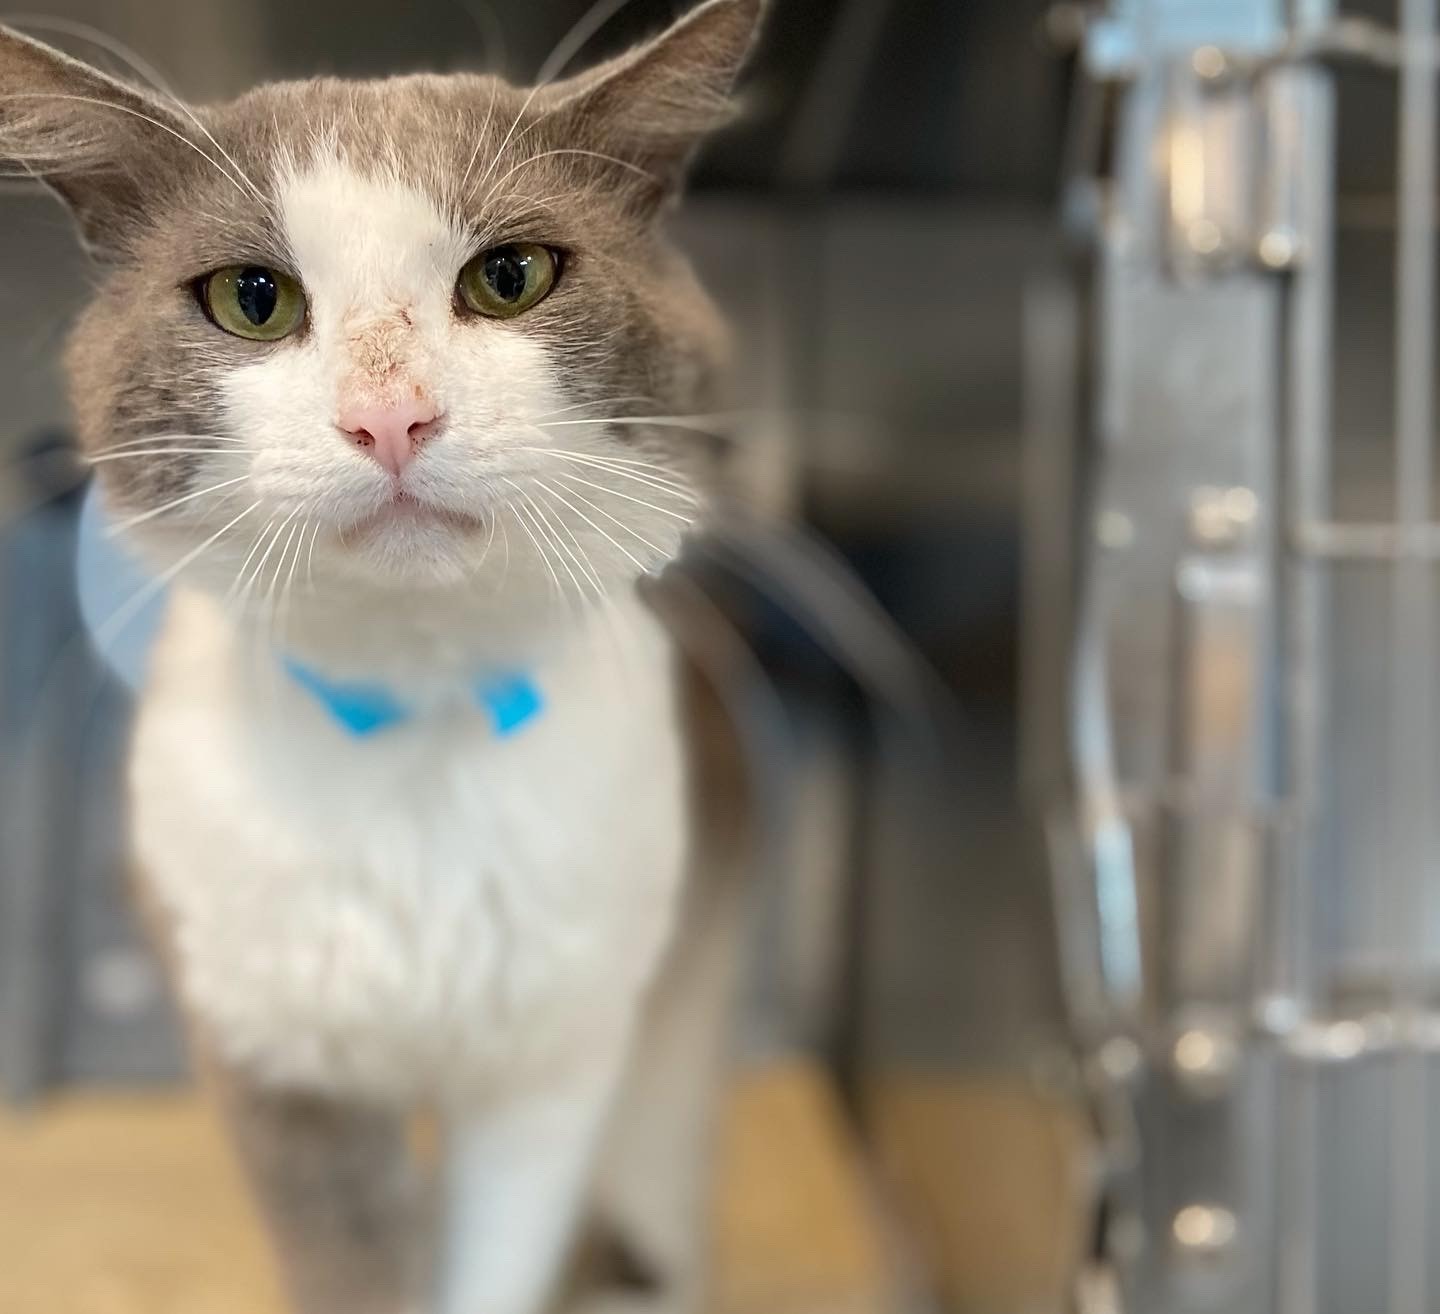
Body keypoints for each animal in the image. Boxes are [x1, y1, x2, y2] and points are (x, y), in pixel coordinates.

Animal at [0, 0, 766, 1308]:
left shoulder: (552, 1052)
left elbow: (498, 1250)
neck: (414, 720)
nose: (390, 415)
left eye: (510, 277)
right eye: (252, 298)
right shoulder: (273, 1050)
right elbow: (350, 1254)